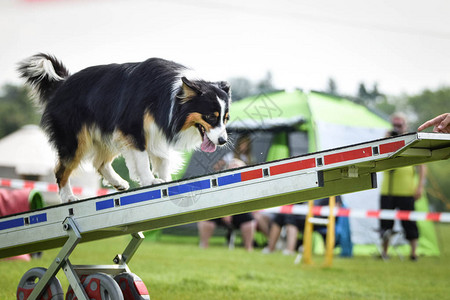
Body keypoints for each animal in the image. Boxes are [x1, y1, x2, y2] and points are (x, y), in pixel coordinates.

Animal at [18, 54, 230, 204]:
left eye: (226, 118)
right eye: (211, 117)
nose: (223, 141)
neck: (171, 95)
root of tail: (61, 84)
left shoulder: (156, 133)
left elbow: (162, 161)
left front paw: (166, 181)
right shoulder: (132, 128)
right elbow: (143, 159)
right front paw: (151, 181)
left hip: (108, 133)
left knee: (99, 162)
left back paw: (118, 183)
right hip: (76, 139)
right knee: (61, 170)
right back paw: (68, 197)